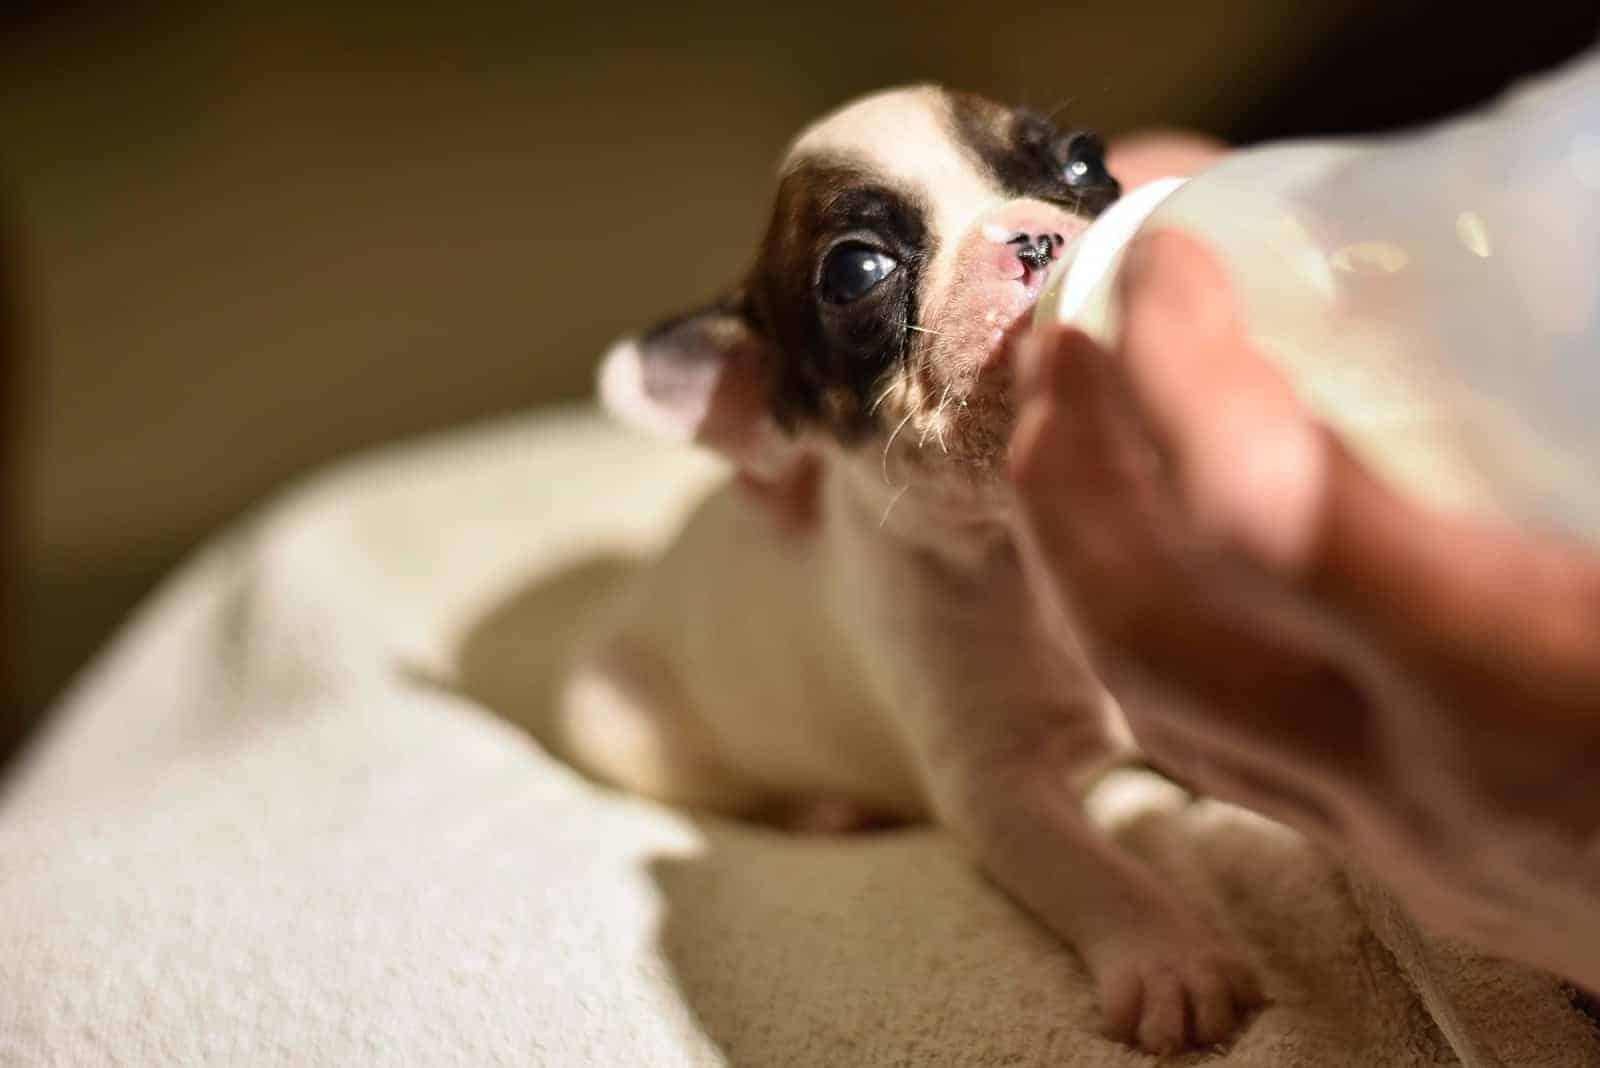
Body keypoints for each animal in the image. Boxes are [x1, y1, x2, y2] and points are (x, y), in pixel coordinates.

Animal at [563, 85, 1260, 1048]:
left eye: (1084, 162)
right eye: (857, 272)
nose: (1032, 239)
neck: (1020, 541)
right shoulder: (996, 793)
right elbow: (1095, 870)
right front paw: (1171, 956)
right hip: (614, 721)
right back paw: (825, 812)